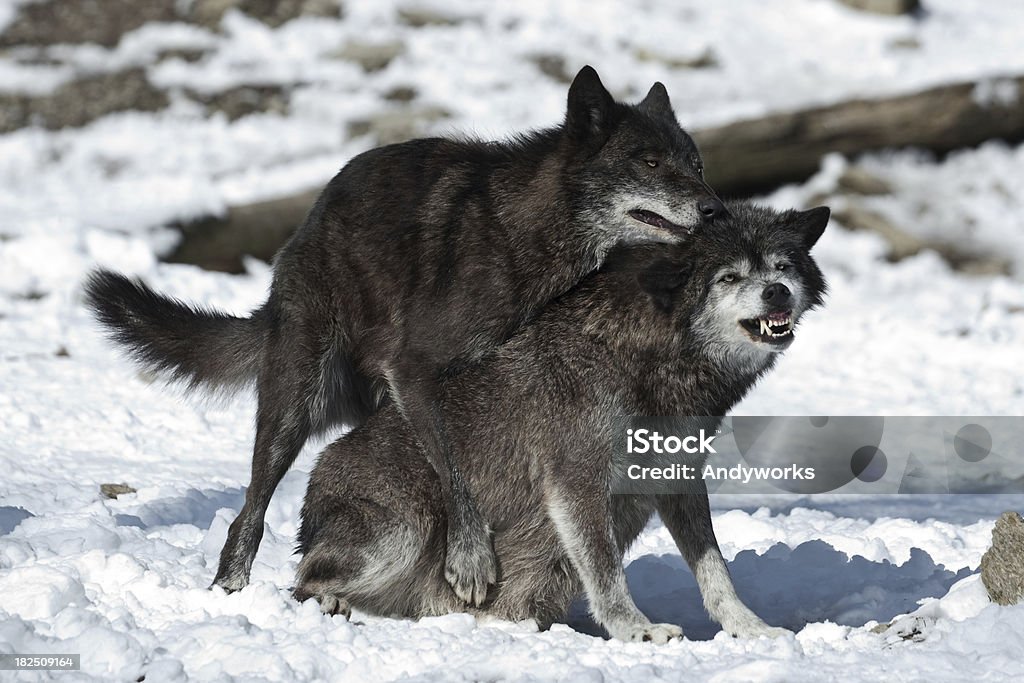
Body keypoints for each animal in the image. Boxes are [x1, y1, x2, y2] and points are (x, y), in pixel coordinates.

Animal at [81, 65, 729, 598]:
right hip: (293, 405)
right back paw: (230, 591)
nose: (717, 209)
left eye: (697, 165)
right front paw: (469, 560)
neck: (523, 235)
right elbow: (452, 467)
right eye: (649, 162)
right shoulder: (416, 372)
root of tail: (301, 236)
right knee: (250, 511)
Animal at [290, 201, 831, 643]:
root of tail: (315, 487)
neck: (652, 360)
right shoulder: (576, 481)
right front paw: (637, 631)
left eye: (782, 266)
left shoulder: (676, 476)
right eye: (729, 277)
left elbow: (715, 571)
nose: (777, 292)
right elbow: (606, 572)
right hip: (405, 532)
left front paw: (751, 628)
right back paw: (331, 602)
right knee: (301, 580)